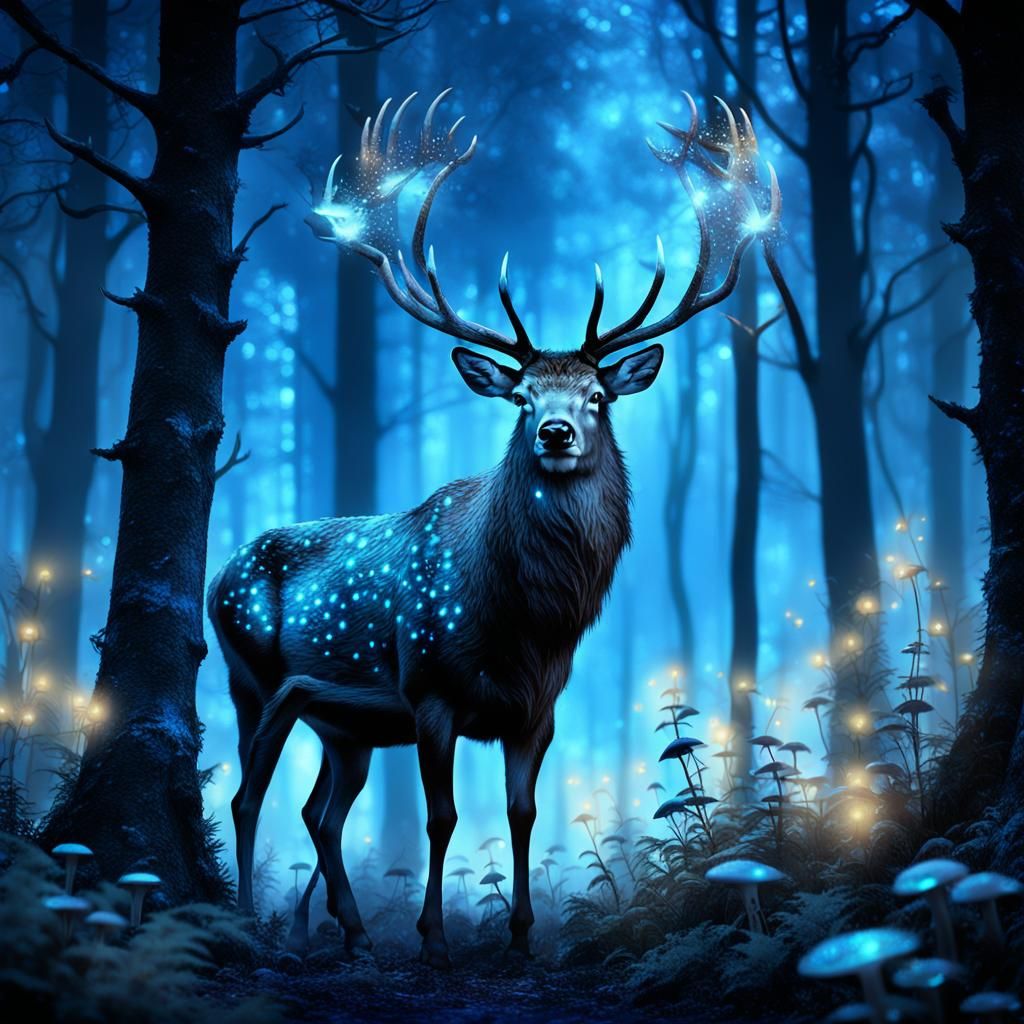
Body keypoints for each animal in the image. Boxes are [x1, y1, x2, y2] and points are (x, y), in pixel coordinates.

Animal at [207, 89, 778, 967]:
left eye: (598, 397)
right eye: (520, 397)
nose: (556, 432)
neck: (524, 625)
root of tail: (215, 572)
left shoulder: (539, 709)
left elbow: (522, 813)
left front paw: (521, 937)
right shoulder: (430, 689)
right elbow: (442, 818)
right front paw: (436, 939)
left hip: (347, 728)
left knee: (318, 812)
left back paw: (353, 931)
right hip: (256, 677)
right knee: (246, 796)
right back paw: (251, 926)